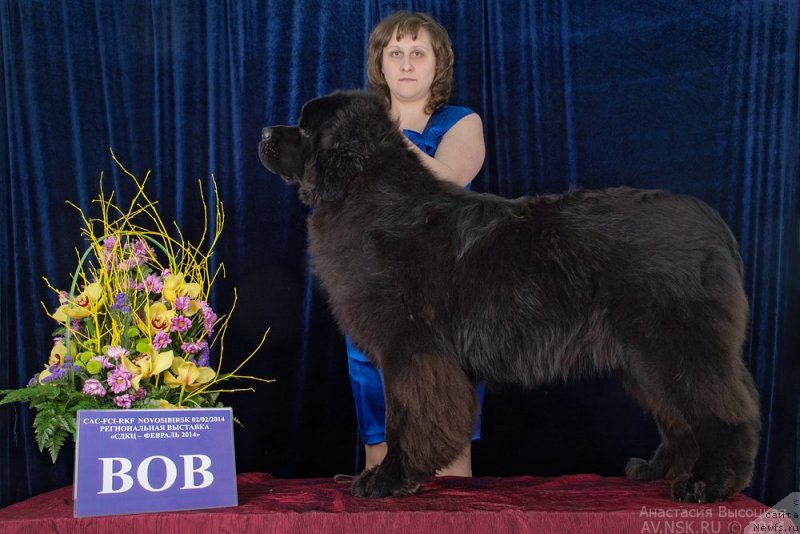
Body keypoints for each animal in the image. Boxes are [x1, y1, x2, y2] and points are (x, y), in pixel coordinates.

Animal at [260, 90, 760, 504]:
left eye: (304, 126)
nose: (264, 132)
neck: (364, 190)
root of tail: (715, 225)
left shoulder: (410, 348)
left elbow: (405, 415)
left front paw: (388, 479)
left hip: (677, 343)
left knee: (723, 411)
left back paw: (709, 484)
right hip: (642, 357)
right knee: (676, 416)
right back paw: (658, 469)